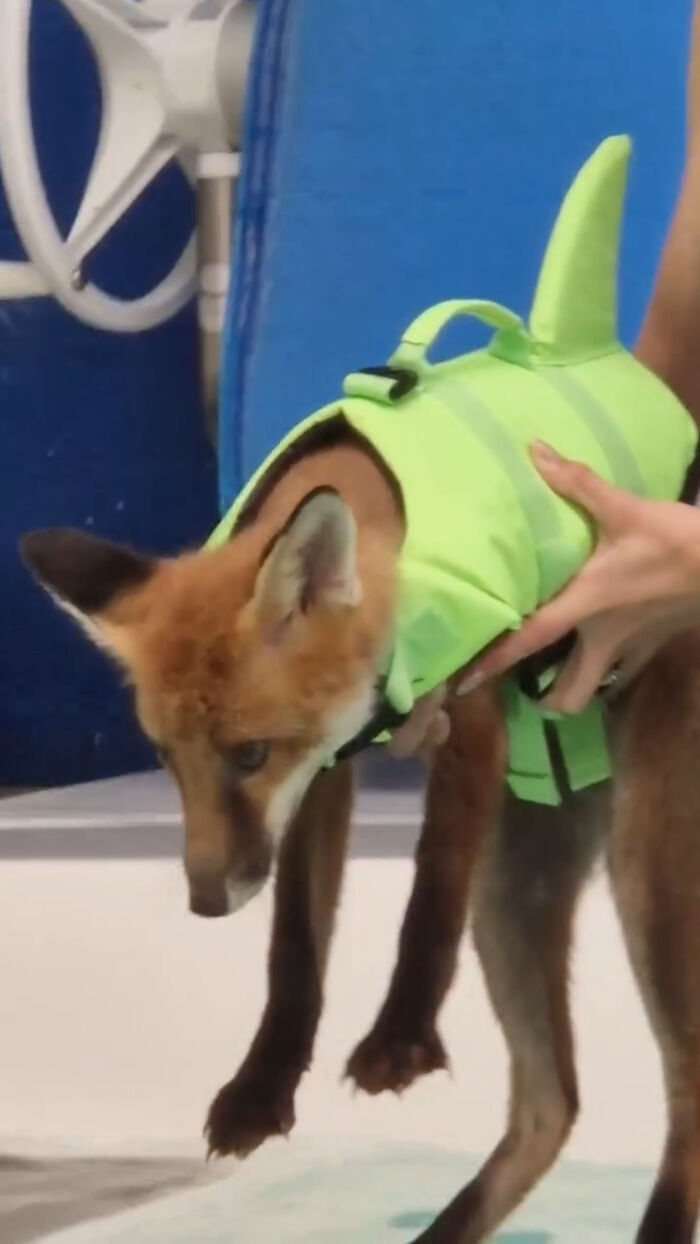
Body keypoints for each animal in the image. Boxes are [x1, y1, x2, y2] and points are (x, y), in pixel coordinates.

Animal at [20, 139, 700, 1242]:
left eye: (248, 751)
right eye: (165, 759)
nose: (204, 901)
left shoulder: (466, 721)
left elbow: (425, 889)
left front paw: (399, 1035)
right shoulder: (327, 774)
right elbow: (294, 951)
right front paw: (261, 1089)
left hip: (648, 879)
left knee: (683, 1092)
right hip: (518, 892)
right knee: (548, 1106)